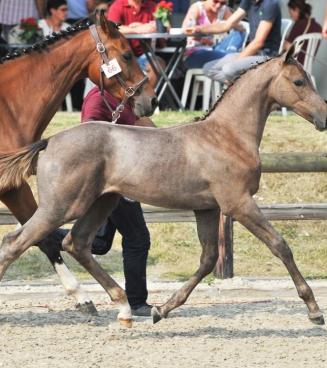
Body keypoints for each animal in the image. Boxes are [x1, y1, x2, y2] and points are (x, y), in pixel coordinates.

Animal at [0, 12, 158, 314]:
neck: (7, 107)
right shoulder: (13, 187)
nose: (152, 101)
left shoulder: (11, 187)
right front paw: (82, 296)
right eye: (127, 54)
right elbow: (44, 238)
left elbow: (43, 238)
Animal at [0, 46, 327, 328]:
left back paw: (123, 308)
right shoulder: (238, 203)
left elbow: (208, 260)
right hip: (61, 206)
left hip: (102, 202)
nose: (323, 117)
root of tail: (49, 141)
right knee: (16, 243)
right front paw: (314, 310)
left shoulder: (207, 208)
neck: (226, 135)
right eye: (298, 81)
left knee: (75, 243)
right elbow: (280, 245)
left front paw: (162, 309)